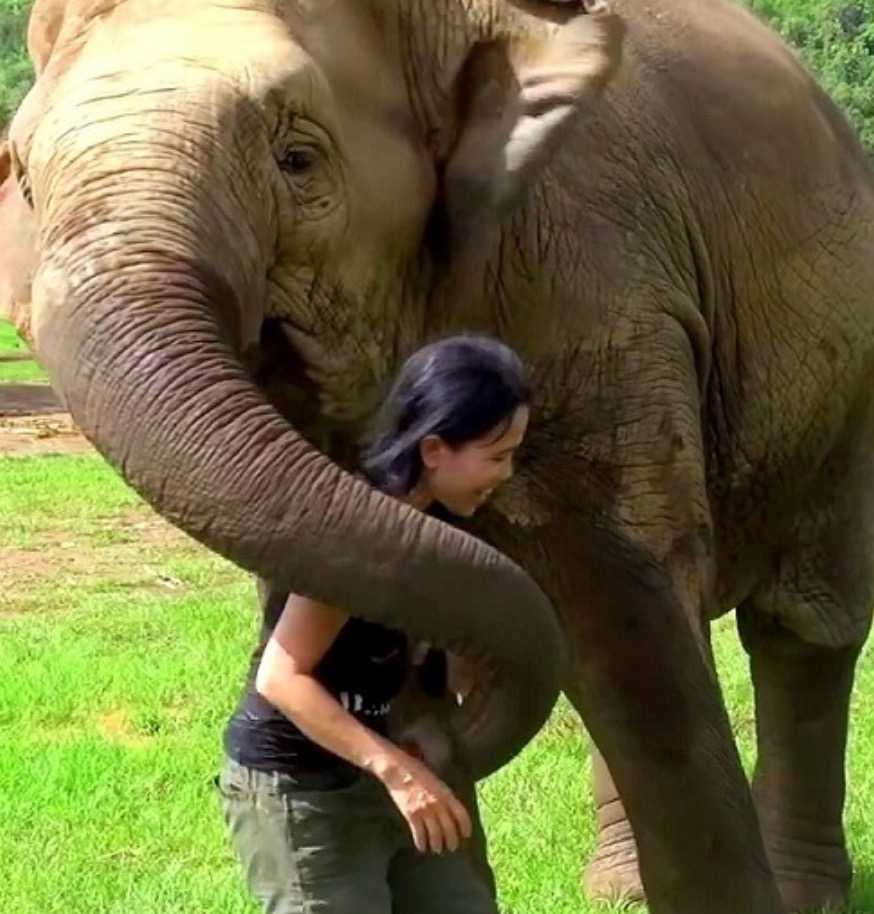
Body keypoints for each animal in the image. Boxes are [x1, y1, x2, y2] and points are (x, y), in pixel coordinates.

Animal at [1, 0, 872, 908]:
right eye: (24, 183)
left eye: (297, 159)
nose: (423, 727)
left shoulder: (595, 278)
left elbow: (623, 605)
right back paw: (617, 889)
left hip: (846, 363)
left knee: (803, 623)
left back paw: (804, 891)